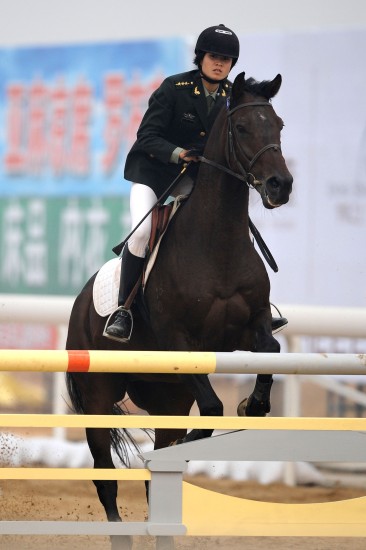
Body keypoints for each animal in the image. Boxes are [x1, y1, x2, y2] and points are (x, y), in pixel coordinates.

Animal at [66, 71, 294, 548]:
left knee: (159, 469)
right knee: (105, 477)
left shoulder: (250, 329)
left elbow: (271, 354)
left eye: (279, 125)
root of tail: (80, 301)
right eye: (242, 127)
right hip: (98, 396)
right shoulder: (180, 341)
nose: (280, 186)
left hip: (166, 395)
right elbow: (210, 409)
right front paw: (206, 432)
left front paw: (252, 406)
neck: (217, 241)